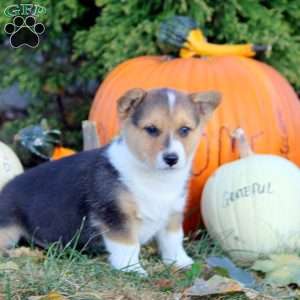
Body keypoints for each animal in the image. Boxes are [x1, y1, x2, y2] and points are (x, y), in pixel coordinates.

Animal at [0, 87, 220, 274]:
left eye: (184, 130)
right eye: (151, 129)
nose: (171, 159)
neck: (154, 178)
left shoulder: (172, 213)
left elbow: (173, 240)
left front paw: (181, 262)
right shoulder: (115, 216)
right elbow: (128, 245)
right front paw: (131, 269)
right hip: (8, 228)